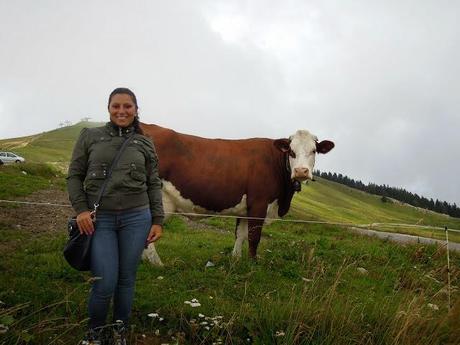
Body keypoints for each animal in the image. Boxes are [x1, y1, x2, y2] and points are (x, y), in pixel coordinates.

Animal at [140, 122, 334, 264]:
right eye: (291, 151)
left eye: (314, 150)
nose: (301, 171)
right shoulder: (259, 204)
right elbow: (254, 237)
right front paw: (253, 263)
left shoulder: (246, 209)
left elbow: (240, 235)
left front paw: (236, 260)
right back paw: (156, 263)